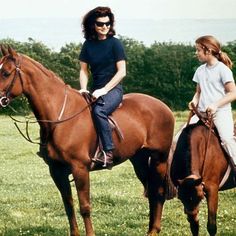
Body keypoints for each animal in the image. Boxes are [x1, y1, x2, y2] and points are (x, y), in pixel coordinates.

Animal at [0, 46, 175, 236]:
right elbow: (68, 206)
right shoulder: (57, 171)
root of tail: (164, 107)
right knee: (150, 191)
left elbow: (84, 207)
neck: (60, 118)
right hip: (139, 160)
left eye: (6, 73)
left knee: (158, 192)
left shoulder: (80, 169)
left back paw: (154, 230)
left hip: (159, 159)